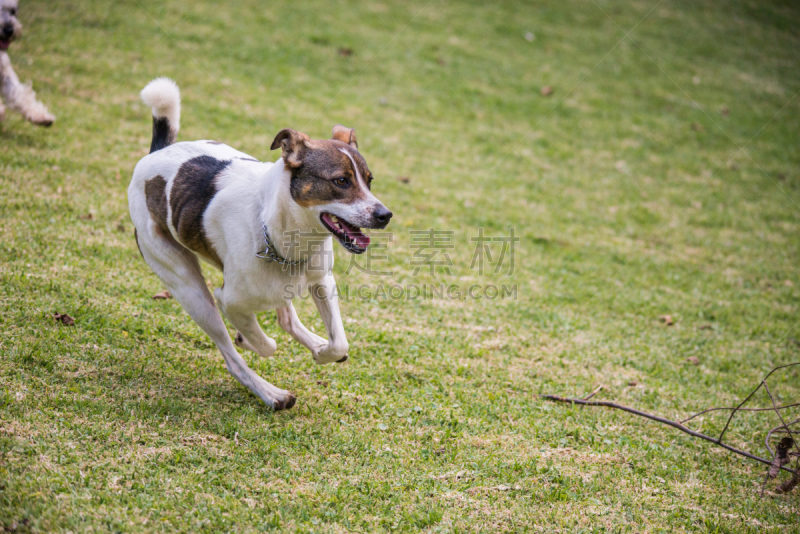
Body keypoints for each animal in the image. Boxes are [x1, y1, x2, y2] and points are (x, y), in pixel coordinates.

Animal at [128, 78, 394, 410]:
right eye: (341, 181)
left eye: (369, 181)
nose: (384, 215)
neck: (281, 231)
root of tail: (156, 153)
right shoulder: (230, 299)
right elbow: (265, 344)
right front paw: (250, 340)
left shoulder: (322, 280)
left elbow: (338, 342)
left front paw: (323, 349)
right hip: (188, 288)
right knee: (233, 357)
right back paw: (271, 393)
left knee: (287, 318)